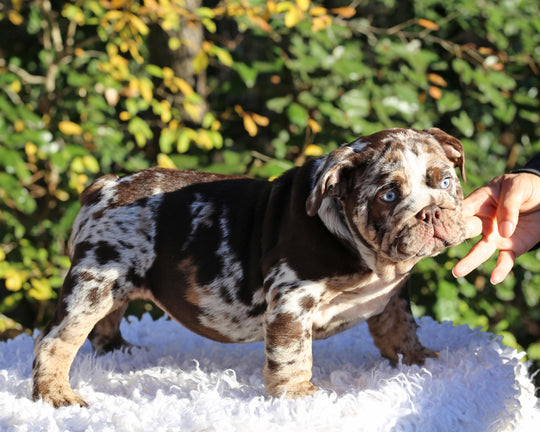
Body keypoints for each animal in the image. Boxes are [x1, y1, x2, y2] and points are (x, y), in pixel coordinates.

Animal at [31, 126, 466, 406]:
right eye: (388, 195)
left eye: (445, 182)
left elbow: (399, 327)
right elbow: (293, 352)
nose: (431, 212)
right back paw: (56, 396)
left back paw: (120, 353)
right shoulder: (292, 300)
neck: (371, 259)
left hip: (110, 283)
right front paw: (298, 396)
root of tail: (104, 187)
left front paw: (418, 360)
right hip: (94, 284)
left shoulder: (393, 294)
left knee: (104, 325)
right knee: (55, 340)